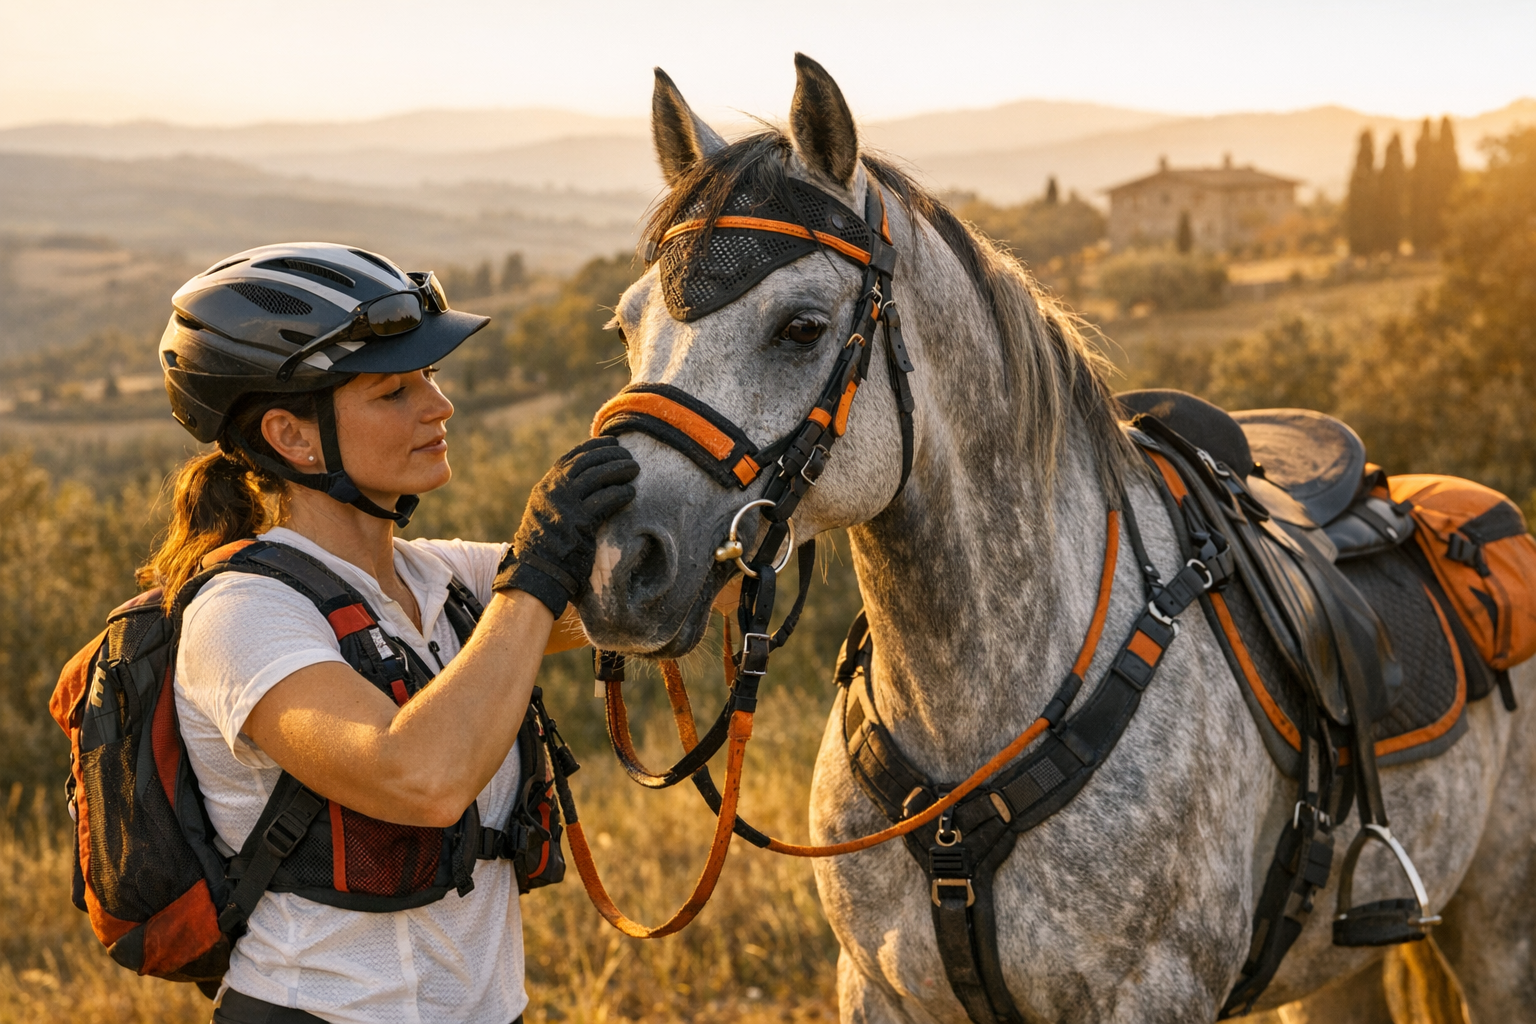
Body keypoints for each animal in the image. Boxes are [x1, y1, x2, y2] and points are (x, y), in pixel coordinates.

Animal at [577, 55, 1536, 1022]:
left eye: (801, 326)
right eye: (627, 325)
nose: (618, 563)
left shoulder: (1151, 995)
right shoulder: (878, 989)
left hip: (1501, 940)